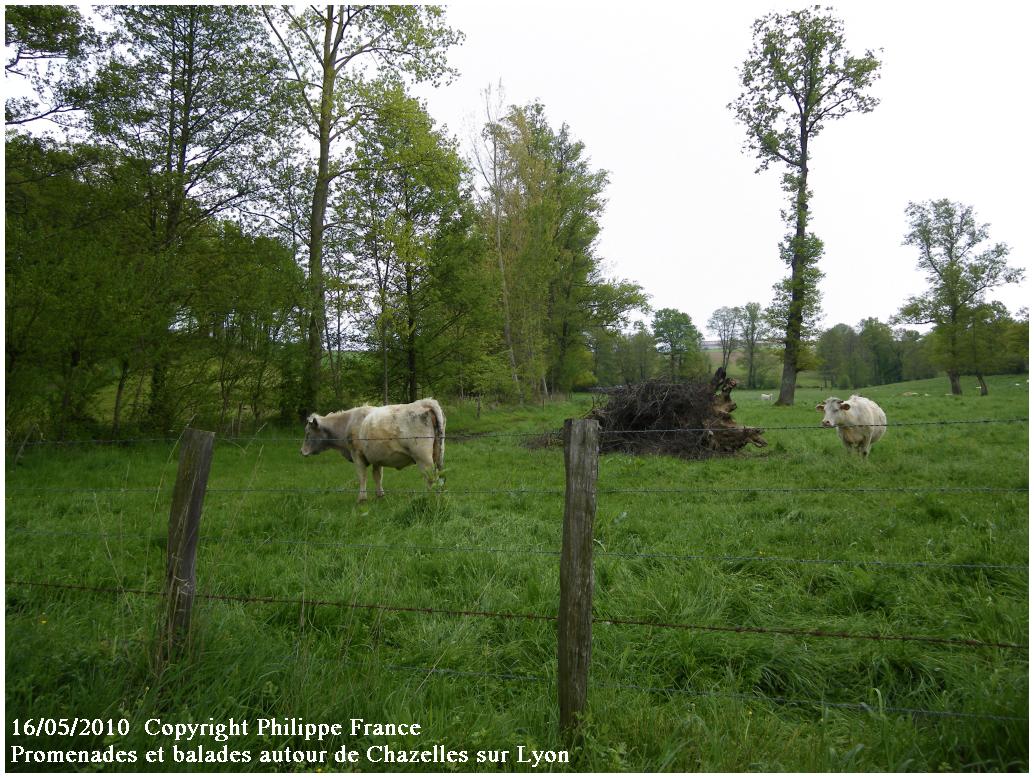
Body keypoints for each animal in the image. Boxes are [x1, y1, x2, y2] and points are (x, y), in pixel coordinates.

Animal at [299, 397, 444, 500]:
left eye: (308, 433)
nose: (301, 451)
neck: (348, 422)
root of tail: (424, 402)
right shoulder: (377, 458)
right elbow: (377, 476)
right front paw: (380, 495)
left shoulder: (357, 455)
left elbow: (362, 476)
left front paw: (362, 498)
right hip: (437, 455)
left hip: (423, 458)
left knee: (430, 478)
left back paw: (428, 497)